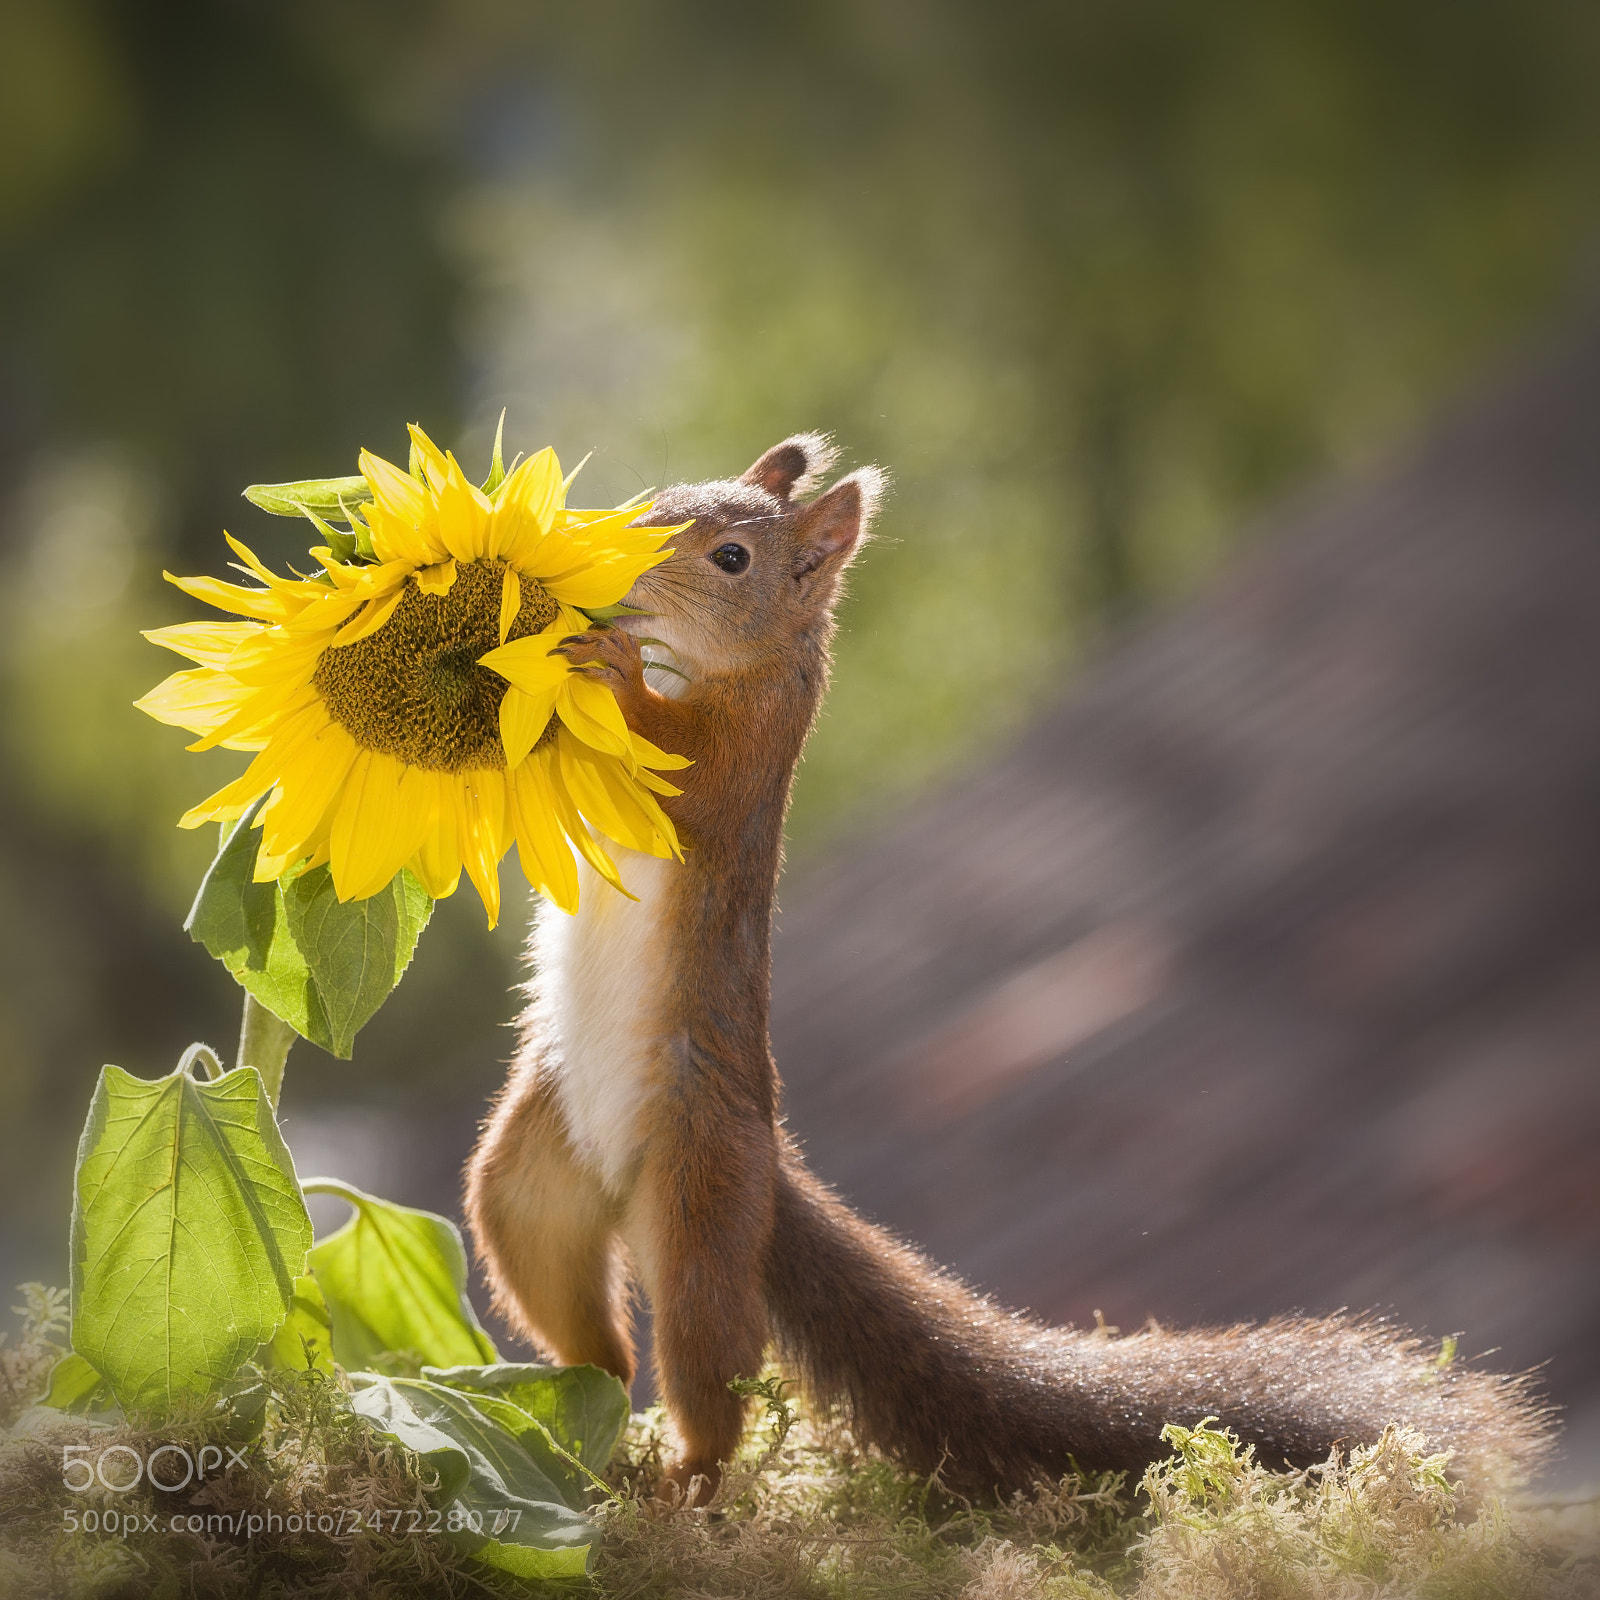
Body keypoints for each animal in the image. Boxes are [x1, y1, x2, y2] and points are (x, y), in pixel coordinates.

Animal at [464, 435, 1550, 1505]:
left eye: (732, 557)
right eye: (660, 493)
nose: (602, 553)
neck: (712, 668)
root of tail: (759, 1171)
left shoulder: (741, 764)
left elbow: (673, 769)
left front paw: (605, 662)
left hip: (697, 1195)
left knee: (709, 1362)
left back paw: (686, 1472)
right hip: (526, 1183)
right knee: (577, 1314)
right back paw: (581, 1425)